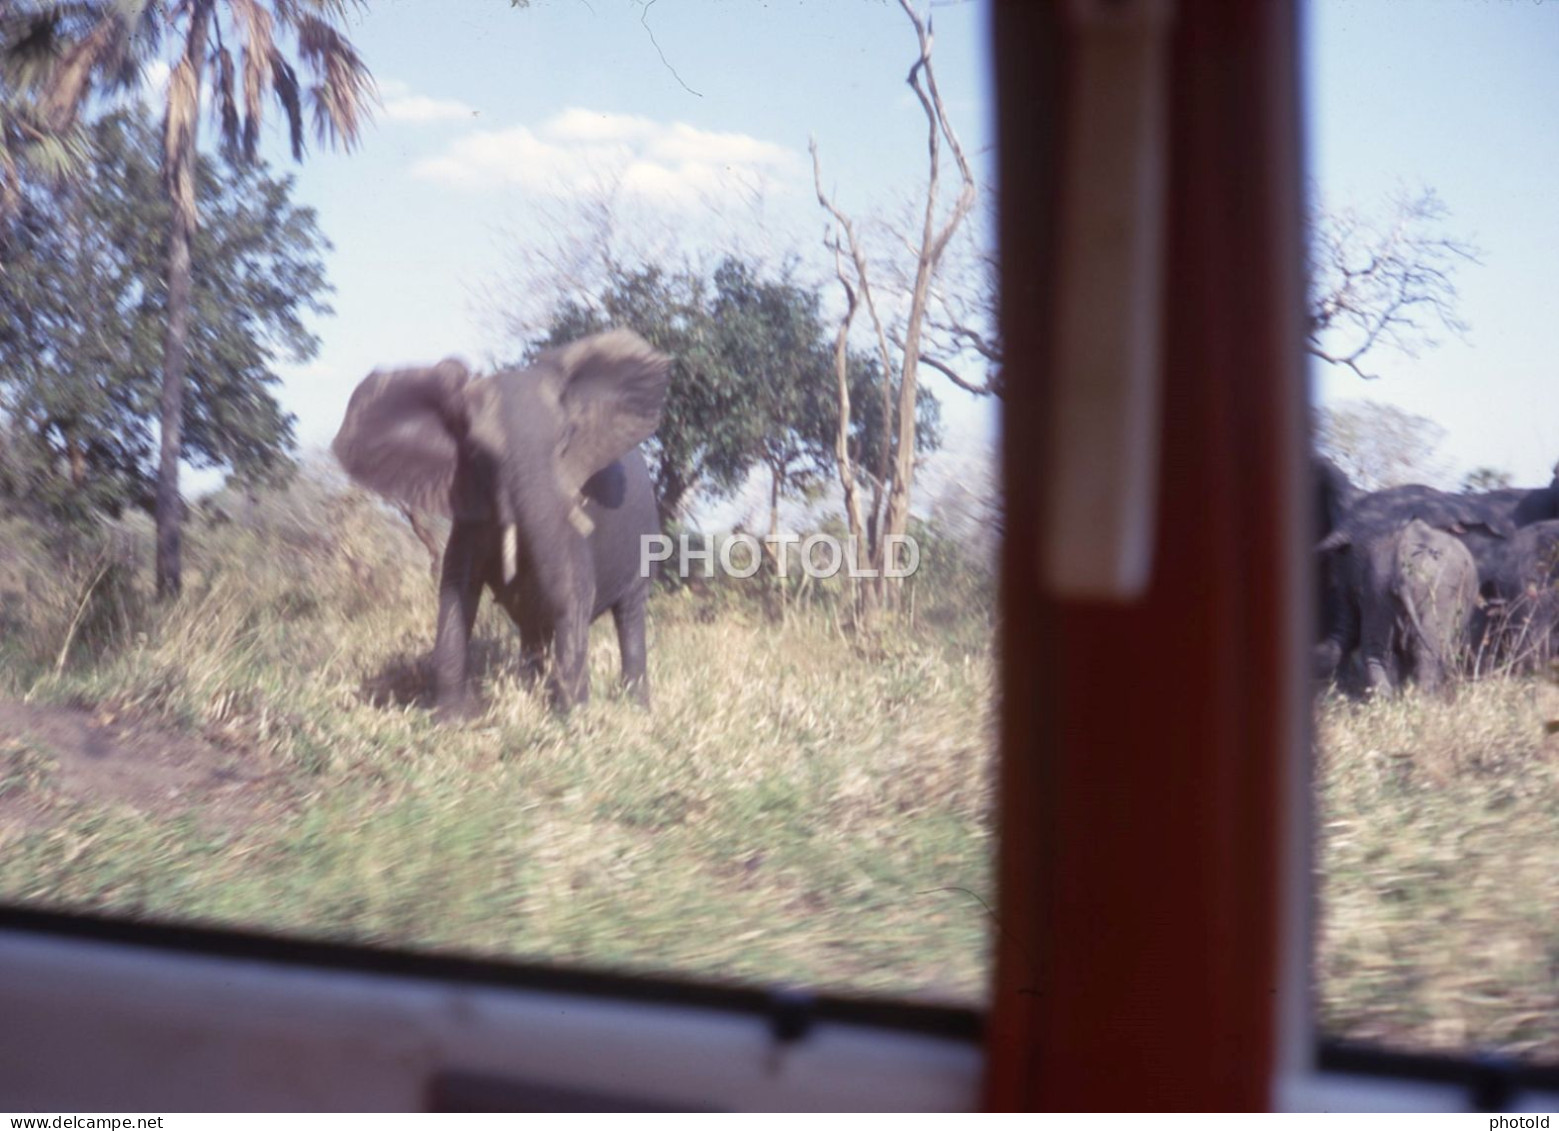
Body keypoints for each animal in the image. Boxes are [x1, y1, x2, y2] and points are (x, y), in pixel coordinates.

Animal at [328, 329, 670, 714]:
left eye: (565, 441)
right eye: (477, 453)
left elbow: (574, 589)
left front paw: (574, 718)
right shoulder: (469, 505)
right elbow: (457, 588)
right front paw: (453, 719)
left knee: (629, 615)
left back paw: (636, 708)